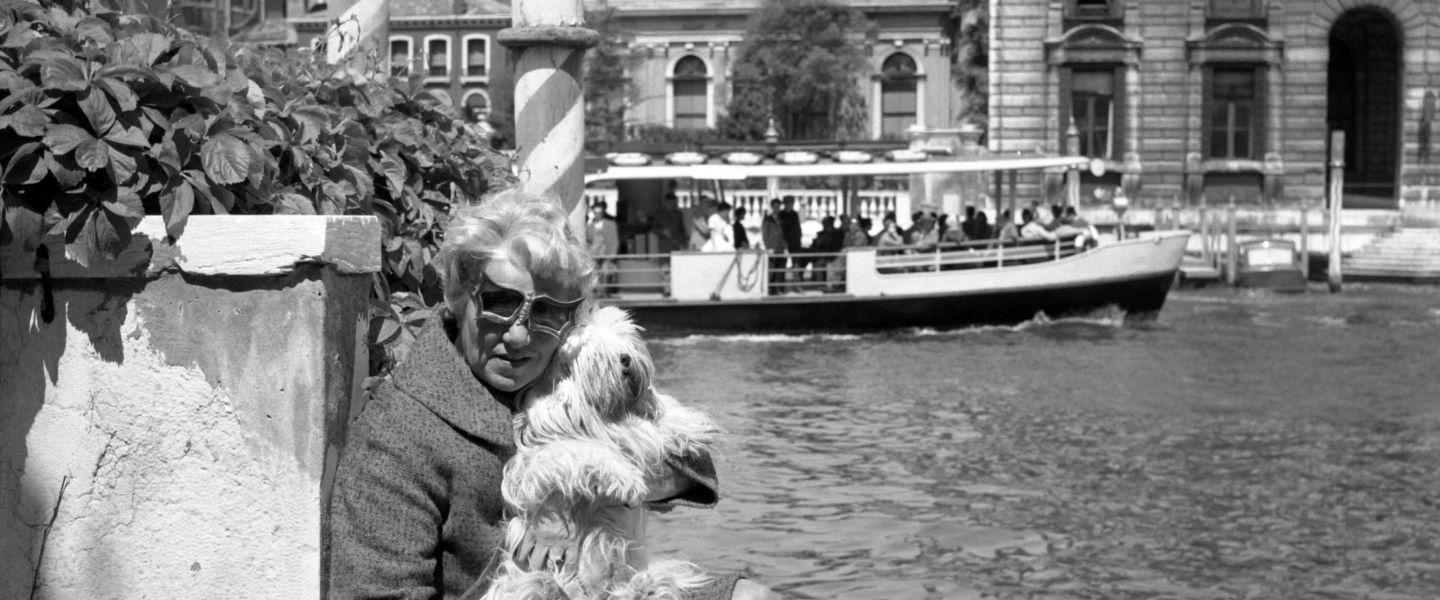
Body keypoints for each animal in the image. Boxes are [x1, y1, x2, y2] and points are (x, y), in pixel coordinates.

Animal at [486, 306, 720, 595]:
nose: (626, 359)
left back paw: (646, 586)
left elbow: (656, 419)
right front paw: (626, 479)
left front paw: (692, 425)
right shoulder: (537, 457)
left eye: (625, 342)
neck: (603, 413)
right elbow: (580, 451)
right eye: (598, 354)